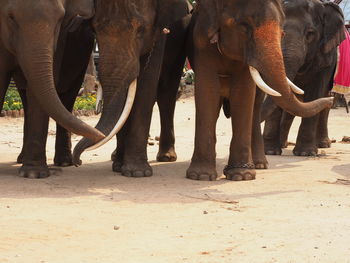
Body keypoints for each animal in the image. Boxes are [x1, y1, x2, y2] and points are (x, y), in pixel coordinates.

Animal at [0, 0, 104, 179]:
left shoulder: (59, 38)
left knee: (68, 97)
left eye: (60, 19)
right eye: (11, 17)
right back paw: (22, 159)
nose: (79, 161)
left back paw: (64, 162)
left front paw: (33, 174)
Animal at [183, 0, 334, 182]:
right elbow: (208, 90)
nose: (331, 100)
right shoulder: (201, 42)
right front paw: (201, 176)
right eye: (244, 25)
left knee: (254, 108)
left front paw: (242, 176)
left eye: (281, 32)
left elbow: (243, 92)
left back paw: (259, 165)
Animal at [260, 0, 344, 157]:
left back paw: (323, 144)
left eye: (310, 34)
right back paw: (283, 144)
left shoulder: (326, 58)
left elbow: (315, 93)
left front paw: (305, 153)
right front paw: (270, 151)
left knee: (323, 104)